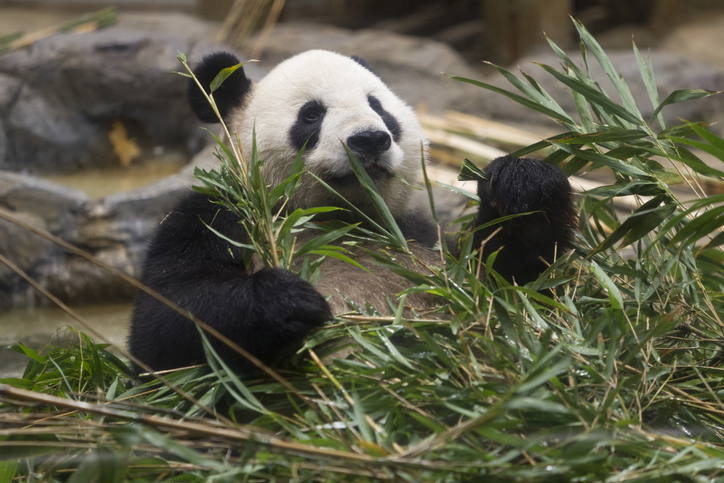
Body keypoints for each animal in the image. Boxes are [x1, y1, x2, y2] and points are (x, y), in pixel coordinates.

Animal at [126, 50, 576, 374]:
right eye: (311, 114)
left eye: (379, 108)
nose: (370, 140)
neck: (341, 217)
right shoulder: (217, 218)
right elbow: (163, 326)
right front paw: (288, 300)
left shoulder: (416, 233)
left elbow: (515, 285)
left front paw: (523, 185)